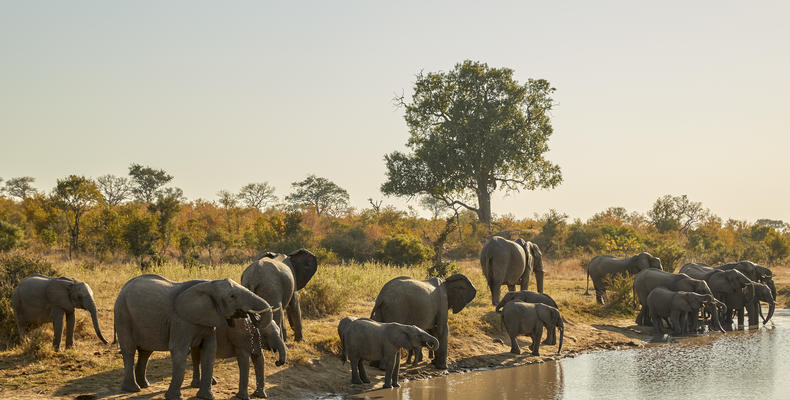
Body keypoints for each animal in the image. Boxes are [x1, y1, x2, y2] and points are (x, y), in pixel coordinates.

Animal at [113, 274, 271, 400]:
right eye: (232, 297)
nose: (251, 315)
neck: (209, 284)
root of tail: (124, 287)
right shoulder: (180, 320)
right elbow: (179, 350)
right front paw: (174, 397)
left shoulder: (208, 320)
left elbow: (209, 351)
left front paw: (207, 397)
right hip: (122, 314)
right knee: (129, 350)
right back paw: (132, 389)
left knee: (145, 352)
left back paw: (144, 385)